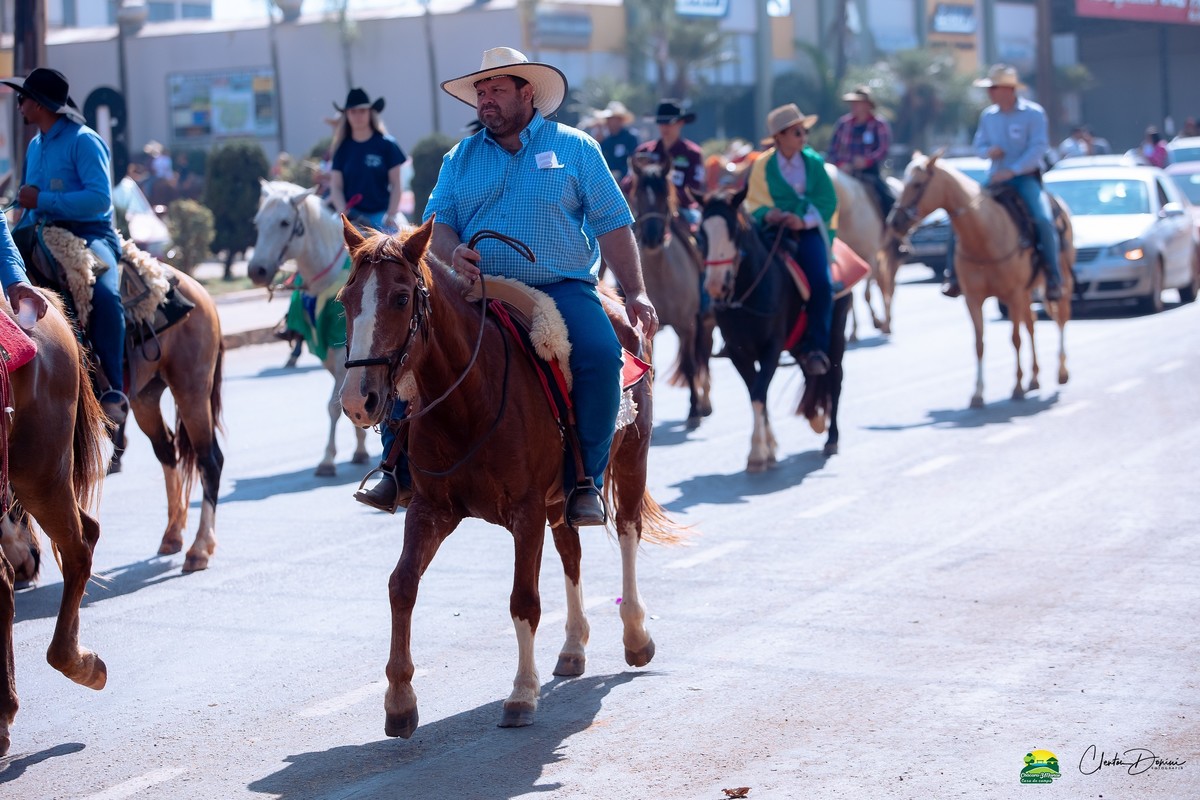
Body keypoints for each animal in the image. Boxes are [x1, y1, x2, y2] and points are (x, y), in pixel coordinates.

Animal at [248, 180, 370, 475]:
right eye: (258, 222)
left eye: (284, 222)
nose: (257, 270)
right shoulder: (328, 351)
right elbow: (343, 400)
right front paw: (358, 447)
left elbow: (335, 404)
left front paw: (327, 459)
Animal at [336, 218, 680, 738]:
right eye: (345, 299)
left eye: (399, 298)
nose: (359, 400)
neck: (468, 398)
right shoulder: (431, 509)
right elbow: (402, 585)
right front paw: (399, 699)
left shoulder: (526, 511)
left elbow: (524, 600)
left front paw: (521, 693)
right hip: (562, 498)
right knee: (571, 553)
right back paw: (573, 647)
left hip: (630, 458)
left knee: (627, 532)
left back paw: (636, 634)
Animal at [626, 153, 713, 429]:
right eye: (637, 194)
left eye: (665, 194)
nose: (653, 237)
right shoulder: (649, 330)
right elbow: (649, 368)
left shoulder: (687, 325)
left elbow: (690, 365)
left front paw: (694, 410)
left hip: (706, 323)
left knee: (703, 357)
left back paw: (705, 403)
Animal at [696, 186, 851, 466]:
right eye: (701, 233)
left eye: (735, 230)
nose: (714, 285)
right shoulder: (738, 353)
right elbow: (756, 393)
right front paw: (769, 446)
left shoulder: (772, 348)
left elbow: (759, 392)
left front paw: (758, 452)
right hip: (800, 344)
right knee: (811, 370)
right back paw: (815, 418)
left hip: (836, 335)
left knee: (835, 379)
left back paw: (831, 437)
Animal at [887, 151, 1073, 408]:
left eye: (916, 184)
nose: (894, 222)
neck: (985, 237)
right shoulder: (973, 299)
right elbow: (979, 344)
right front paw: (977, 393)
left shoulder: (1012, 294)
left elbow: (1015, 338)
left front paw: (1016, 387)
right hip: (1026, 293)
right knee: (1032, 324)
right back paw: (1034, 378)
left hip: (1058, 280)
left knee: (1061, 317)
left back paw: (1062, 372)